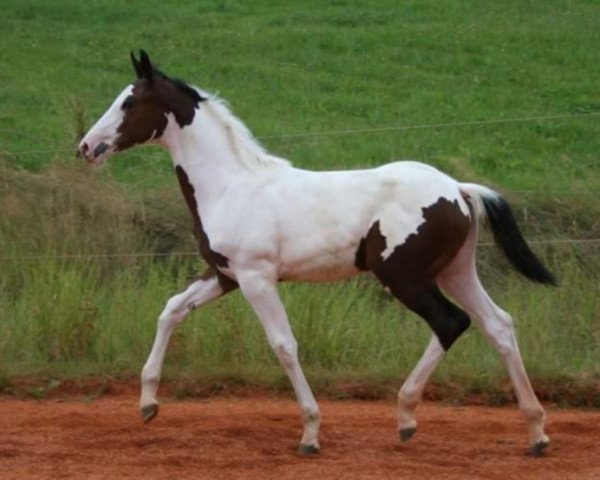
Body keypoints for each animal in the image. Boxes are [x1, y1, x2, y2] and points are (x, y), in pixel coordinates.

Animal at [77, 50, 556, 456]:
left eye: (129, 102)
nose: (85, 147)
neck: (230, 185)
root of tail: (457, 188)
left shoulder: (256, 278)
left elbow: (284, 345)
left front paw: (310, 433)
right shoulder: (225, 275)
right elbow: (172, 310)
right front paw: (147, 403)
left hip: (406, 277)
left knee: (451, 323)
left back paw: (406, 417)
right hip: (455, 271)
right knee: (498, 325)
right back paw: (536, 433)